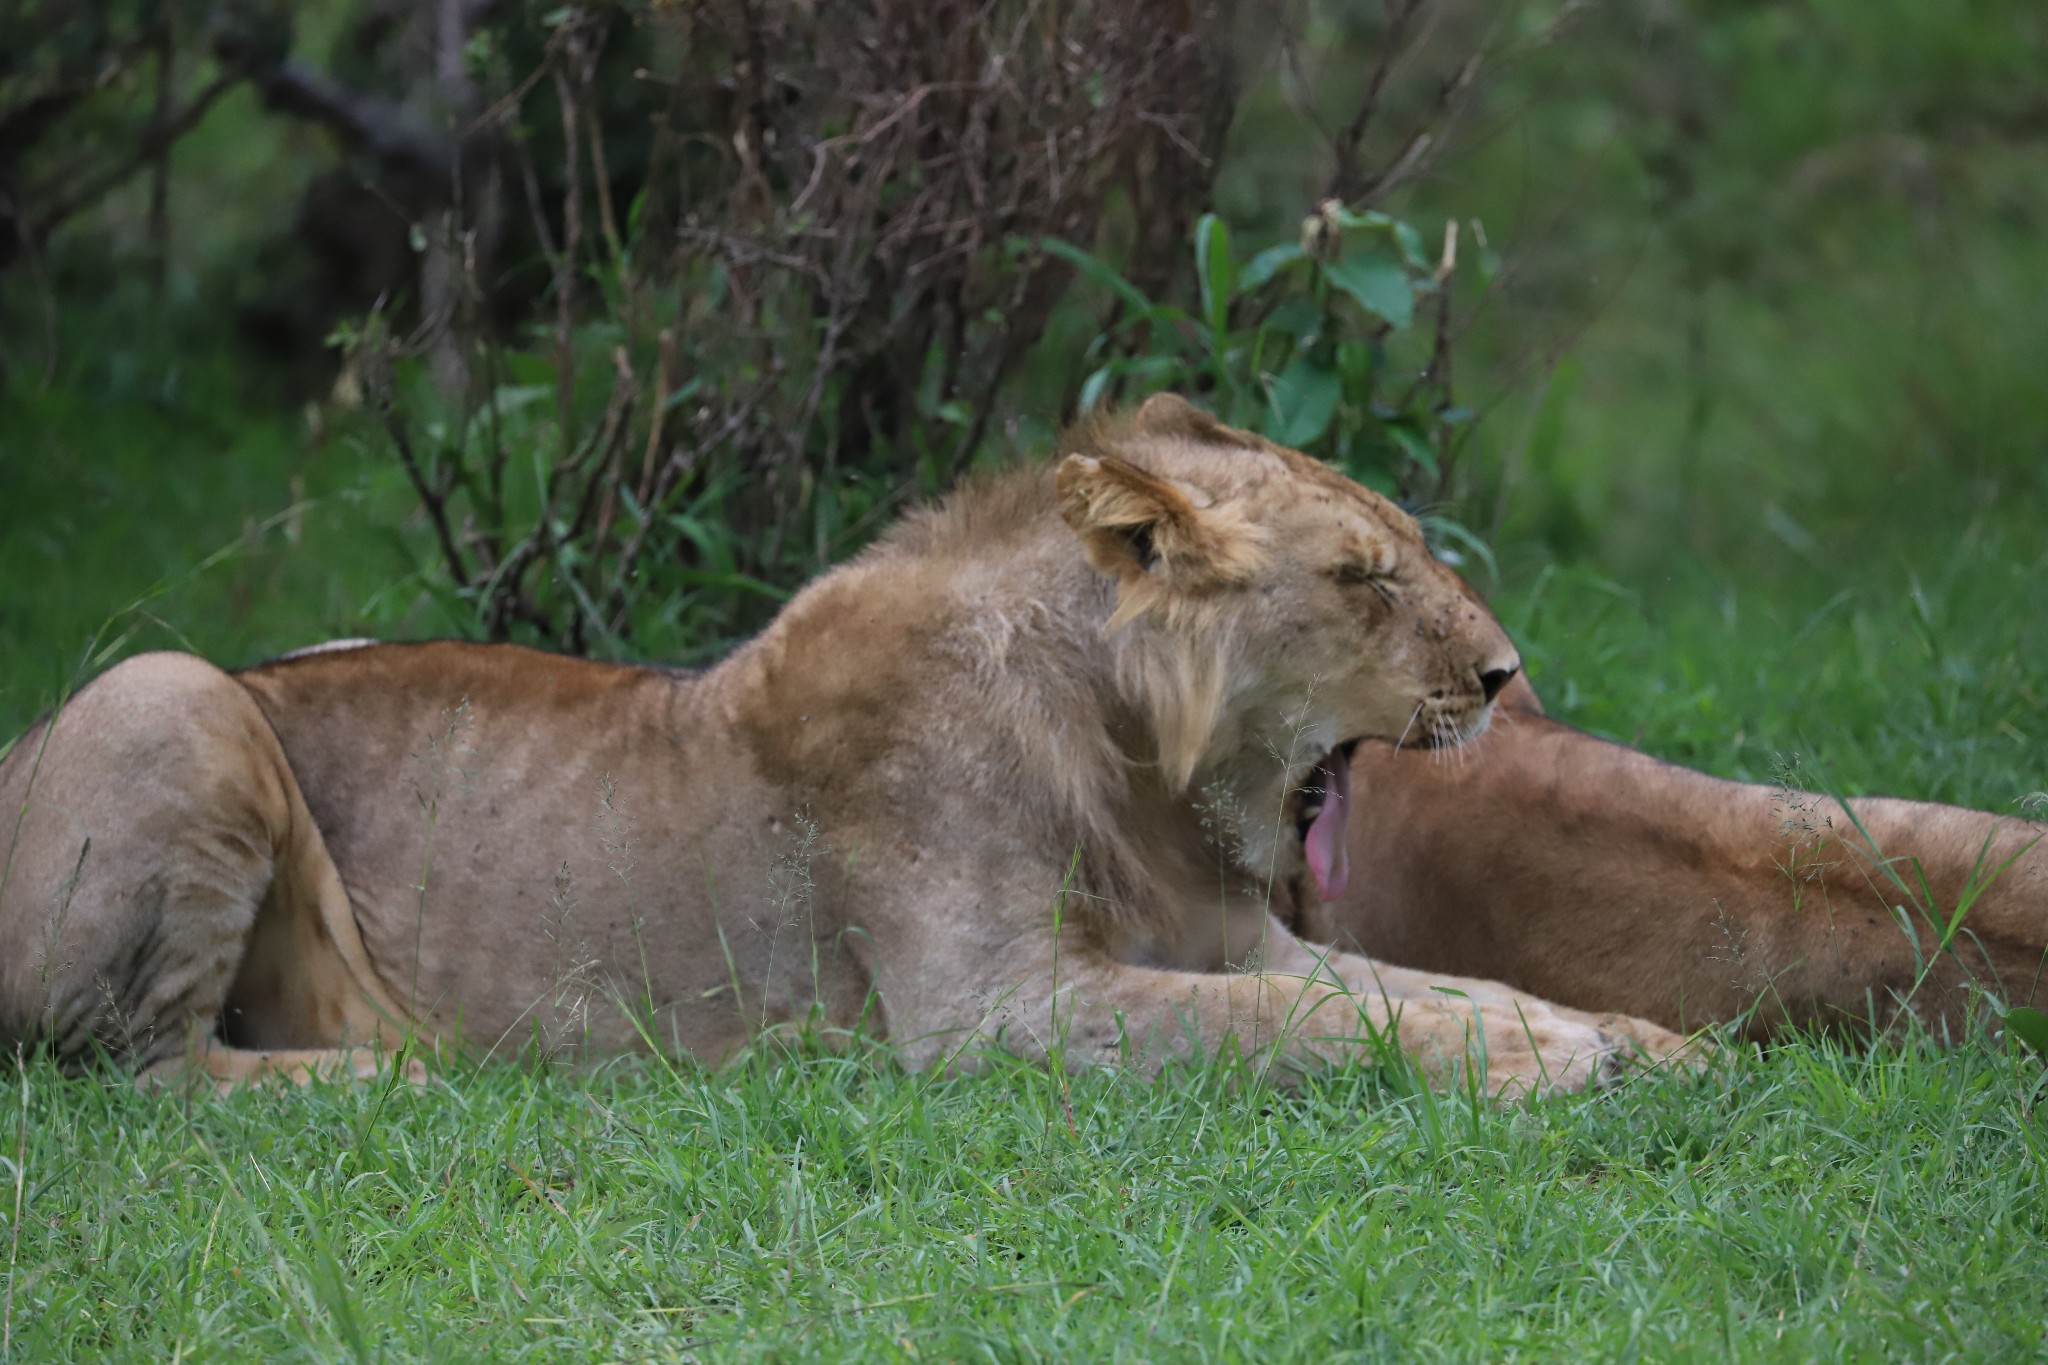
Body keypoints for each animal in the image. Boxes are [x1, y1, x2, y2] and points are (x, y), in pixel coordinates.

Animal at [0, 394, 1687, 1096]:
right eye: (1362, 576)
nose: (1504, 673)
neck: (1139, 770)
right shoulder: (988, 1010)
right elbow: (1297, 1029)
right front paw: (1551, 1067)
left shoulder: (1240, 939)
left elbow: (1429, 986)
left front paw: (1639, 1039)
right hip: (171, 688)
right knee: (141, 1071)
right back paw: (410, 1082)